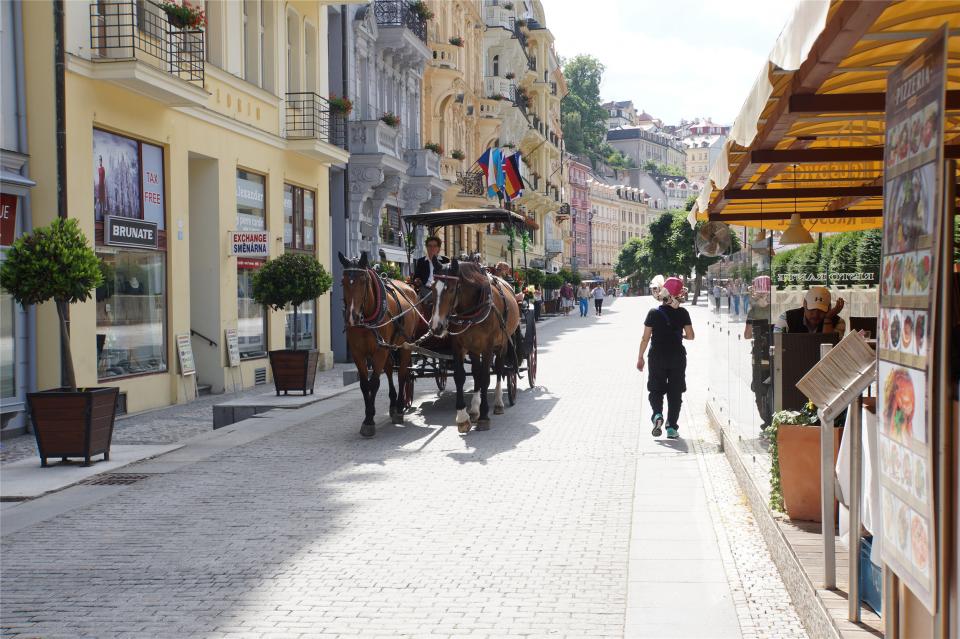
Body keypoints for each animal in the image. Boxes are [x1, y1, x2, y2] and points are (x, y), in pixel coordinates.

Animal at [340, 252, 426, 438]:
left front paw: (369, 420)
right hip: (390, 347)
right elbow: (364, 384)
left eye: (363, 280)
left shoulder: (379, 351)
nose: (352, 317)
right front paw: (368, 417)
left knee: (402, 375)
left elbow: (374, 383)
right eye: (343, 281)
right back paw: (393, 405)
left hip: (405, 346)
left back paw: (399, 408)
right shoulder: (358, 354)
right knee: (389, 370)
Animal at [430, 260, 516, 436]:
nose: (436, 327)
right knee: (476, 373)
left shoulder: (488, 346)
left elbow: (486, 378)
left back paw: (498, 403)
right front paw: (463, 417)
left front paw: (484, 416)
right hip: (474, 348)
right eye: (432, 288)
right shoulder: (459, 345)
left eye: (451, 288)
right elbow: (461, 377)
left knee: (498, 370)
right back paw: (474, 408)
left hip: (502, 343)